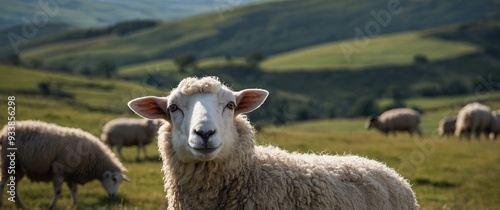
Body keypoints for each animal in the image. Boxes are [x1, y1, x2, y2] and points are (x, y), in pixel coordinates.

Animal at [0, 120, 131, 209]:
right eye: (114, 179)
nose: (113, 195)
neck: (93, 158)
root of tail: (4, 131)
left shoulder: (72, 174)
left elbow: (74, 190)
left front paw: (76, 204)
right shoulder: (59, 168)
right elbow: (58, 191)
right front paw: (52, 206)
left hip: (19, 167)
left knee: (13, 186)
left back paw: (20, 205)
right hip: (7, 162)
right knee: (2, 183)